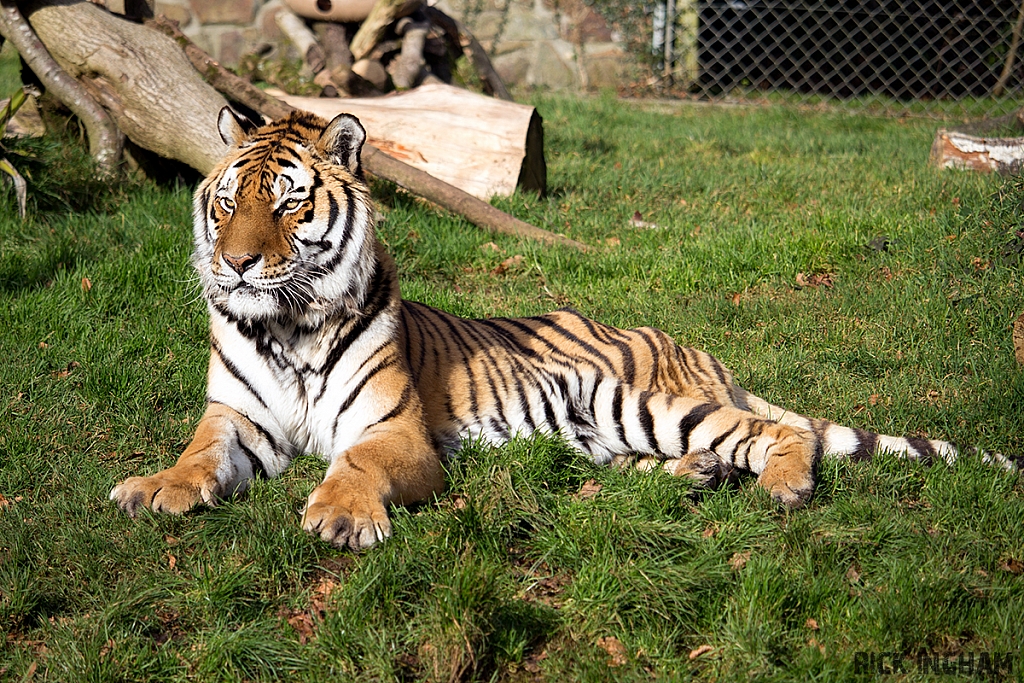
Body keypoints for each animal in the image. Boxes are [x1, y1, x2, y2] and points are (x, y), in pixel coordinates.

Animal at [108, 109, 1011, 552]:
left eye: (291, 203)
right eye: (228, 200)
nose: (234, 264)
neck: (287, 327)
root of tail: (696, 349)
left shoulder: (395, 431)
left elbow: (355, 462)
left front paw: (340, 515)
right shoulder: (237, 418)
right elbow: (199, 455)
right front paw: (156, 487)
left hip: (640, 399)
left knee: (782, 432)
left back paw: (782, 482)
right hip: (603, 431)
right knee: (676, 457)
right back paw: (696, 475)